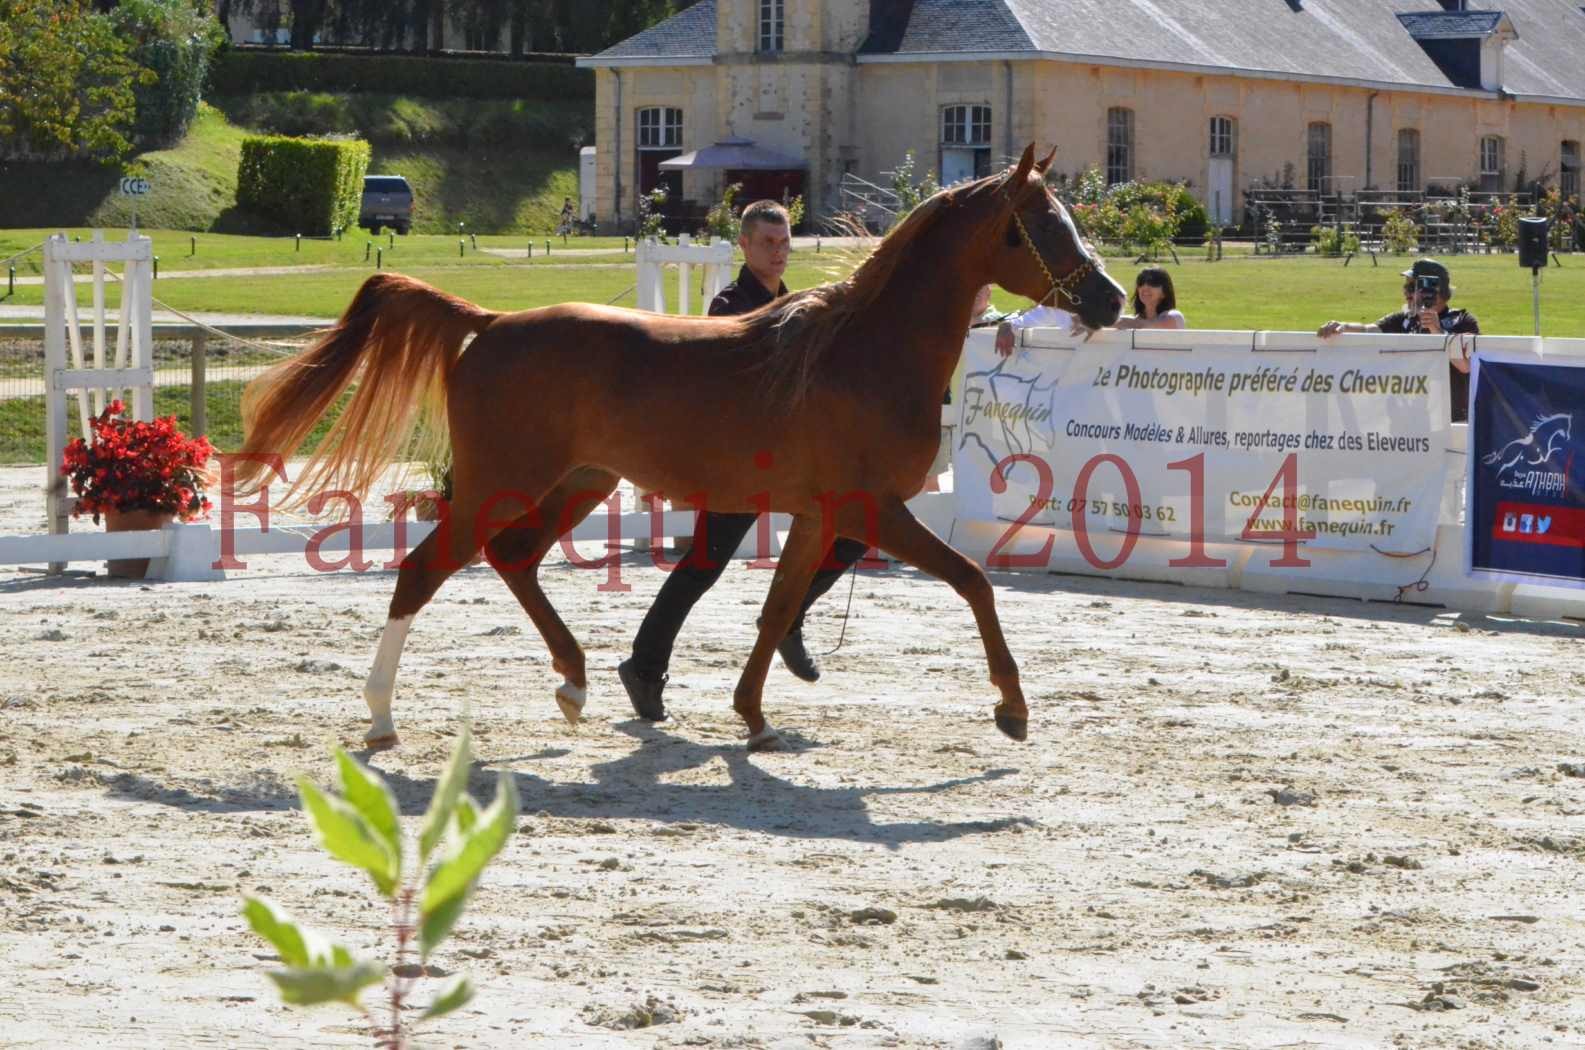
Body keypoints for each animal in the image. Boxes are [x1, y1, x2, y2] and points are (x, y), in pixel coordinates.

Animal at [237, 144, 1128, 751]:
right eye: (1040, 225)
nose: (1111, 298)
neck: (860, 350)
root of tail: (489, 325)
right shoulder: (871, 509)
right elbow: (972, 582)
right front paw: (1011, 708)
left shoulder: (817, 517)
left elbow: (777, 612)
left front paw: (754, 717)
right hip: (504, 481)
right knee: (424, 571)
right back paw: (383, 717)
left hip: (581, 482)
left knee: (514, 558)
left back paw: (575, 684)